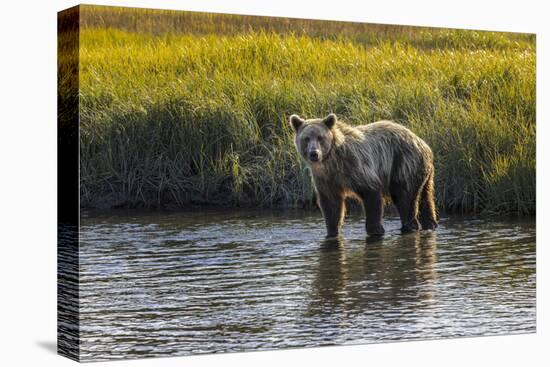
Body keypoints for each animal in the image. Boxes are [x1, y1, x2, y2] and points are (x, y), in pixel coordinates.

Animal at [288, 113, 440, 237]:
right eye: (306, 138)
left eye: (320, 137)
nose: (314, 153)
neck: (332, 162)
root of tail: (424, 145)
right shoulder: (325, 179)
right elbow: (331, 205)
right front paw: (332, 231)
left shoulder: (356, 167)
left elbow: (371, 194)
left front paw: (375, 230)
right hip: (424, 174)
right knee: (425, 198)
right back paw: (430, 224)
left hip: (403, 164)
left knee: (404, 198)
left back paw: (409, 226)